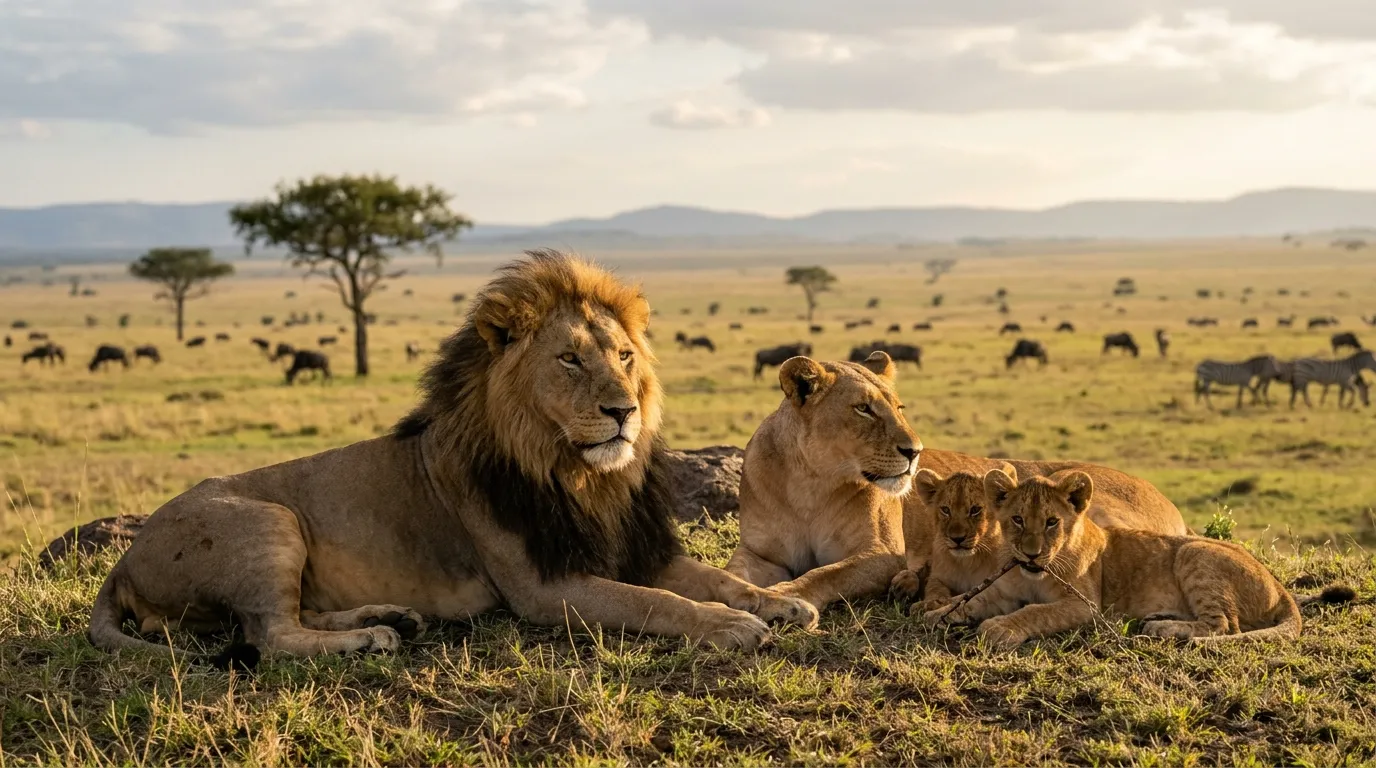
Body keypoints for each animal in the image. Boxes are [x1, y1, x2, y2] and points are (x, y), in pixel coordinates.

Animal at [89, 250, 817, 662]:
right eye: (570, 359)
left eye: (624, 356)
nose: (623, 412)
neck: (582, 477)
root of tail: (124, 558)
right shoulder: (543, 587)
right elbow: (656, 604)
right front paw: (732, 628)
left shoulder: (639, 548)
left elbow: (719, 580)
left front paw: (779, 603)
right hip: (267, 520)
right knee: (269, 634)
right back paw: (368, 640)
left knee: (287, 616)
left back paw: (388, 616)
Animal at [726, 354, 1187, 614]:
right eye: (863, 409)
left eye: (898, 407)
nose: (914, 451)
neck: (811, 483)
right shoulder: (759, 551)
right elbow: (734, 571)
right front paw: (746, 597)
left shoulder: (882, 553)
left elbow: (827, 575)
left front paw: (789, 596)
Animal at [929, 468, 1351, 647]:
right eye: (1017, 520)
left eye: (1051, 522)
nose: (1032, 554)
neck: (1034, 574)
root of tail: (1280, 588)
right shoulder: (1003, 591)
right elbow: (971, 599)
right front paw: (938, 611)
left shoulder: (1085, 607)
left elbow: (1035, 612)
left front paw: (1000, 628)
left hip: (1195, 552)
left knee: (1224, 626)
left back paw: (1160, 628)